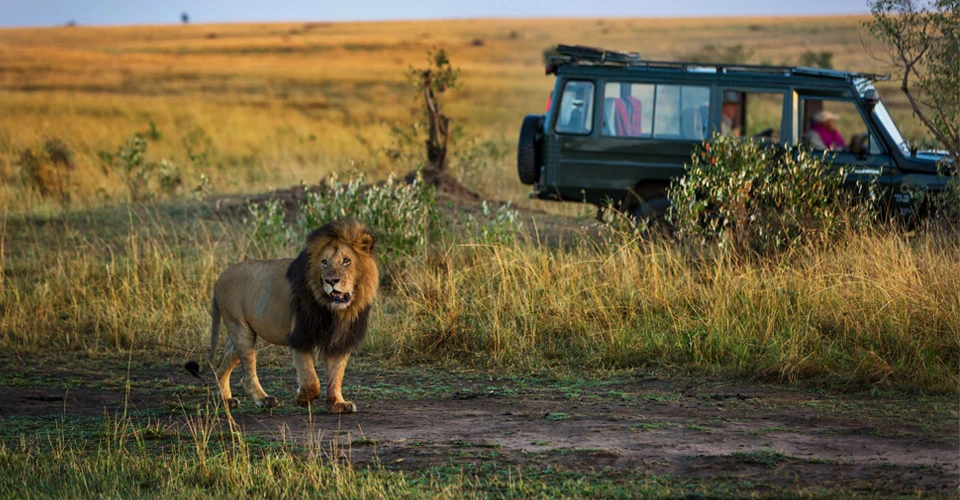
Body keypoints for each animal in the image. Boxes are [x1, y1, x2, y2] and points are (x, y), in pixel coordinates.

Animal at [191, 218, 379, 413]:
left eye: (346, 261)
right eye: (324, 262)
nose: (331, 281)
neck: (336, 311)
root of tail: (219, 278)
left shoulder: (341, 339)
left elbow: (336, 375)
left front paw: (338, 404)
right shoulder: (300, 336)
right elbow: (311, 379)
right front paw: (303, 398)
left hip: (237, 336)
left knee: (222, 370)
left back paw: (227, 401)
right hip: (240, 330)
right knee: (248, 373)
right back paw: (264, 399)